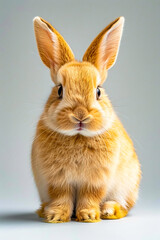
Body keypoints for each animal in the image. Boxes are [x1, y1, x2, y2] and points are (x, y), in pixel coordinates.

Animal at [31, 15, 141, 223]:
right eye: (60, 90)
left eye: (98, 91)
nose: (80, 115)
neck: (77, 136)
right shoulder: (57, 180)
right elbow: (61, 196)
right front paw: (56, 216)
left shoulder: (96, 180)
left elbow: (90, 196)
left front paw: (89, 215)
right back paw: (42, 210)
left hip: (128, 186)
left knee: (124, 205)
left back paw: (109, 211)